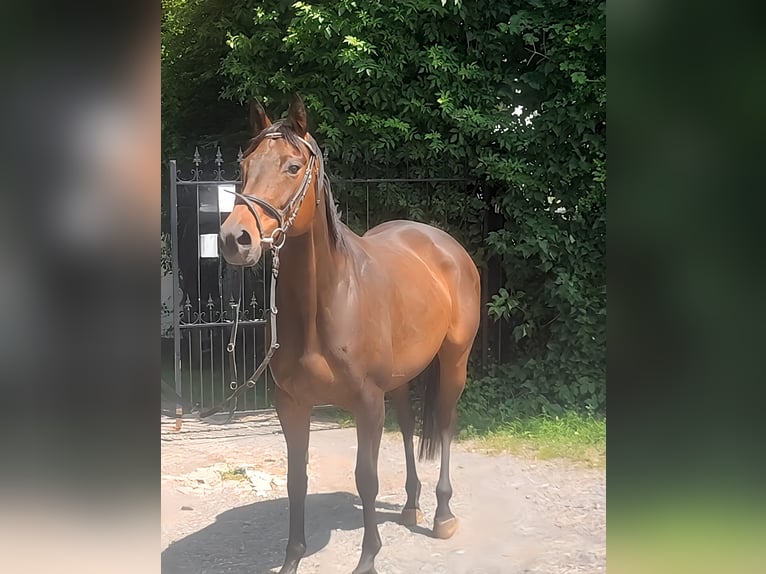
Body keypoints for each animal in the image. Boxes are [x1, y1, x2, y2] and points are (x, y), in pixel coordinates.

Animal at [218, 96, 481, 574]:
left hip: (454, 360)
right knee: (408, 422)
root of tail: (443, 243)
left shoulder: (366, 403)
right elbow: (296, 479)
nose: (234, 238)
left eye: (292, 166)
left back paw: (441, 514)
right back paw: (412, 506)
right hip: (400, 380)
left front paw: (368, 558)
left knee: (445, 422)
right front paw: (292, 559)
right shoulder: (291, 403)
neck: (325, 304)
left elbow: (367, 478)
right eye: (244, 166)